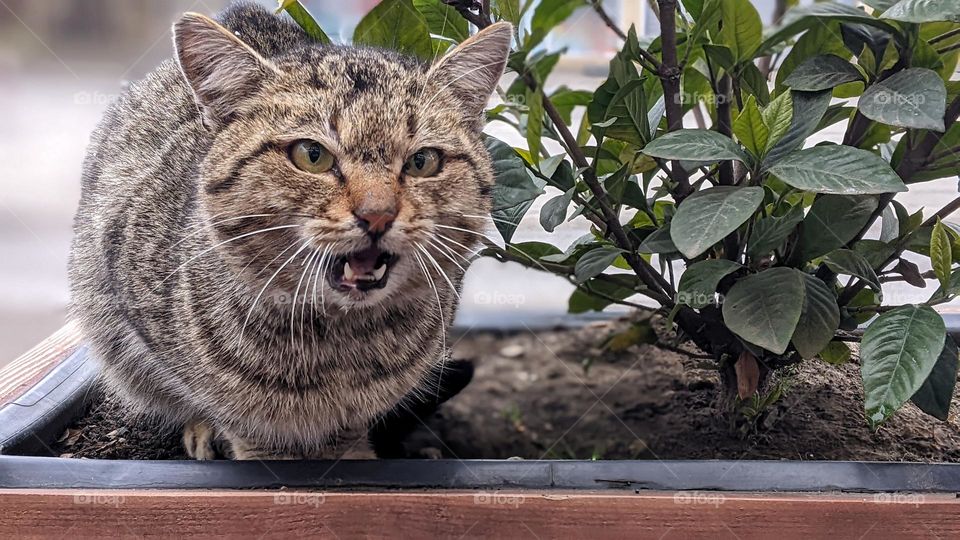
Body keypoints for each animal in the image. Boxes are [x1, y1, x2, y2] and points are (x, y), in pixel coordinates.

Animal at [67, 3, 510, 460]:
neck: (339, 342)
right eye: (312, 155)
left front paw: (351, 454)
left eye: (423, 161)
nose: (377, 215)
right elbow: (230, 409)